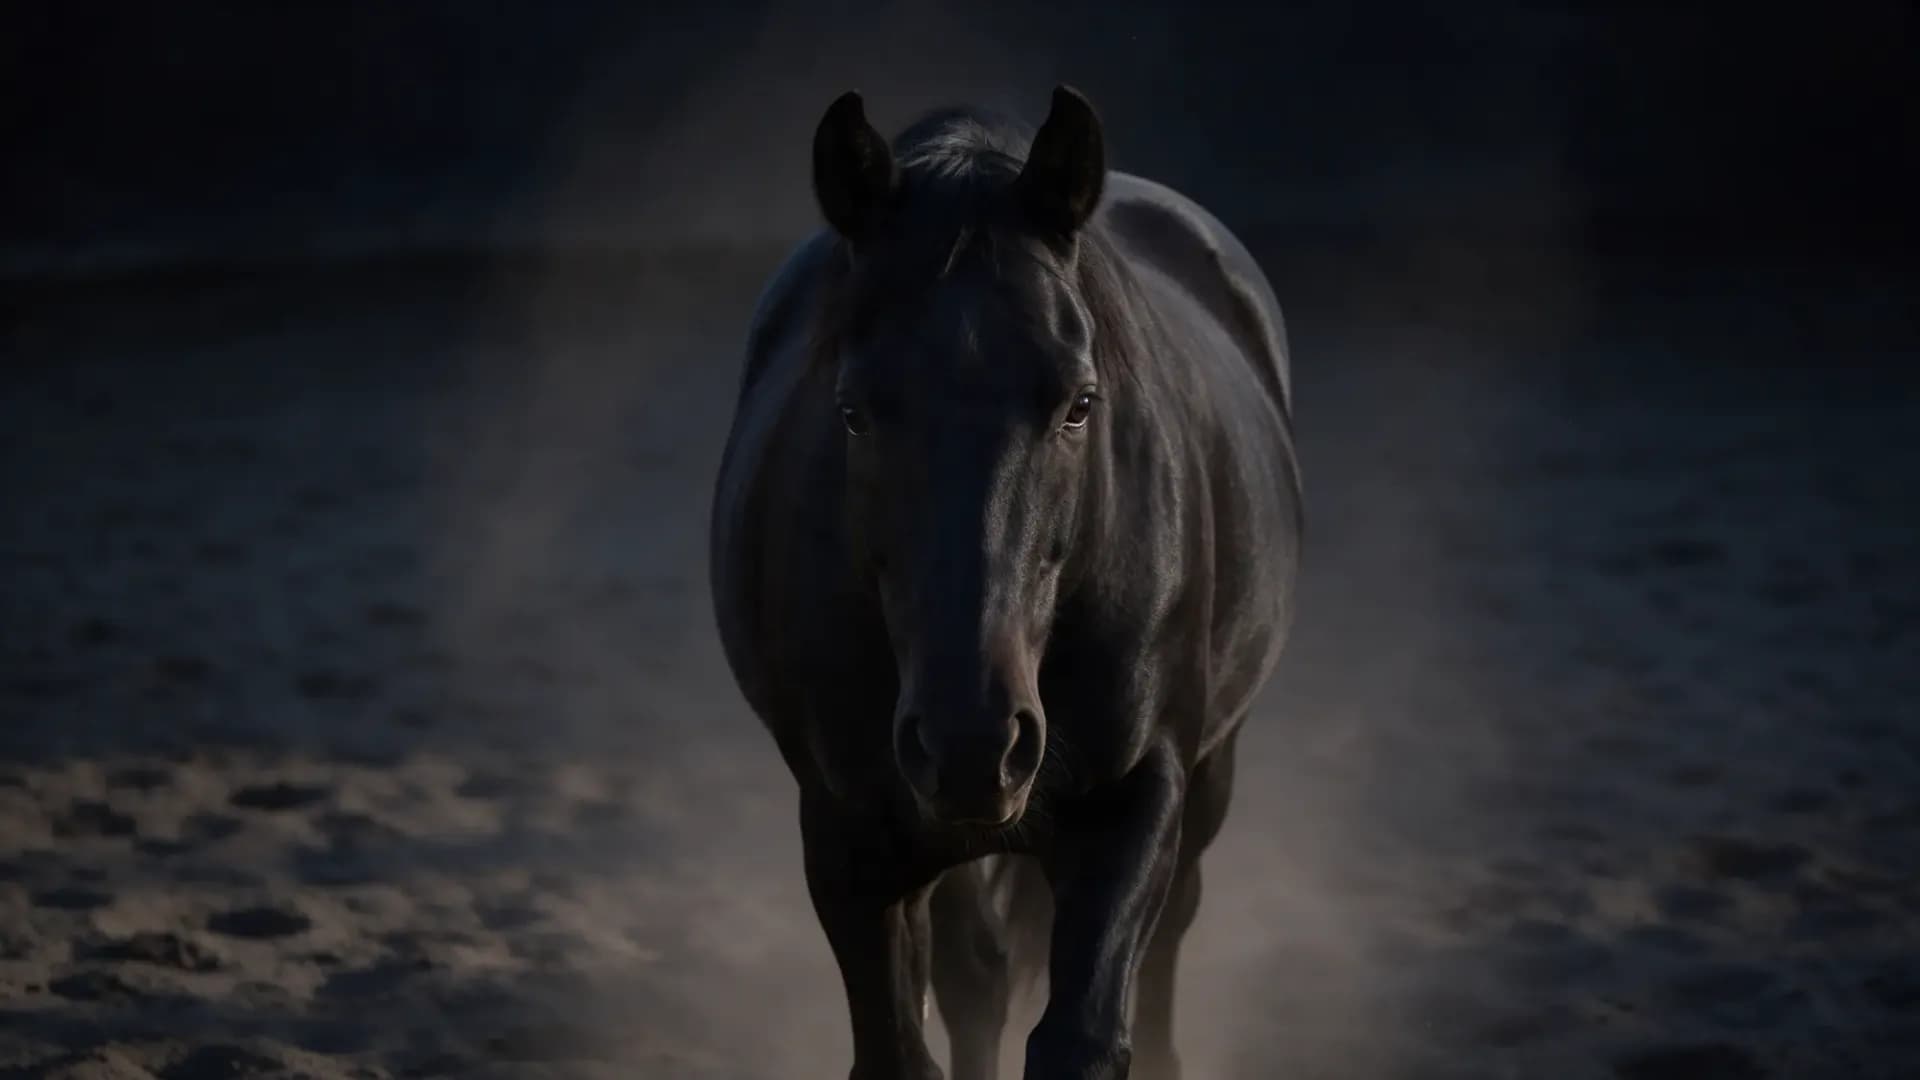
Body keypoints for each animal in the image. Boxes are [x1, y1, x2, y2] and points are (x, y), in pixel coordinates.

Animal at [708, 85, 1302, 1080]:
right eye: (851, 410)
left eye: (1080, 402)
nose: (975, 739)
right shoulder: (848, 834)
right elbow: (904, 1043)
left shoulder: (1132, 801)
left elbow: (1084, 1034)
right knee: (975, 972)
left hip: (1207, 771)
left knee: (1166, 930)